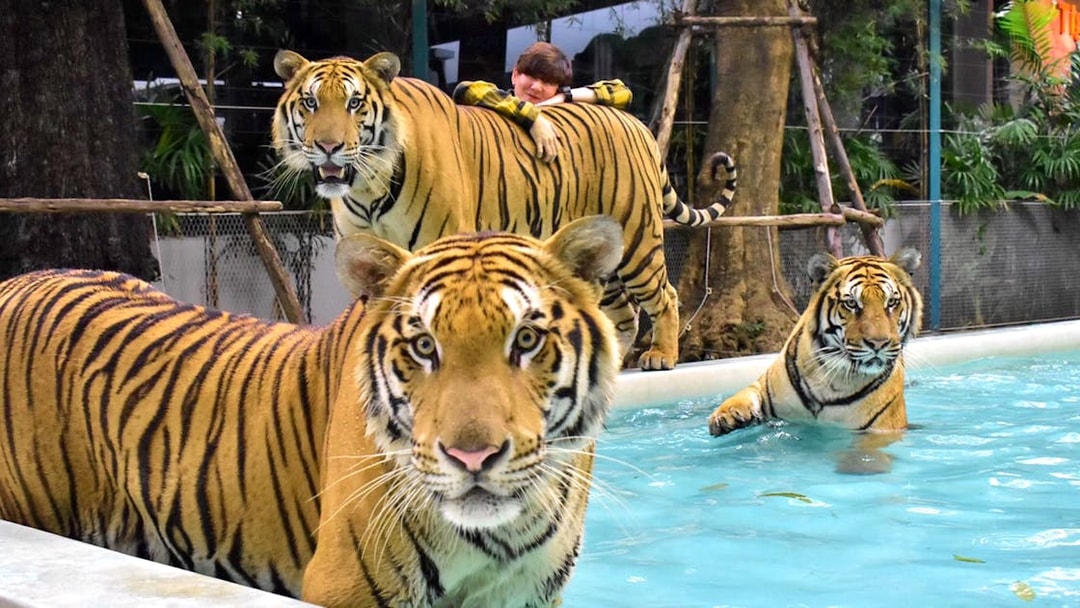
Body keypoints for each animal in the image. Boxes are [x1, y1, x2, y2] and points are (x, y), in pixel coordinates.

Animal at [270, 49, 738, 371]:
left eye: (354, 103)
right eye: (310, 103)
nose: (328, 146)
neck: (370, 186)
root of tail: (635, 122)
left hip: (637, 237)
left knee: (665, 295)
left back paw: (661, 355)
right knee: (623, 314)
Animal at [707, 248, 923, 445]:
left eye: (892, 302)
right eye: (851, 303)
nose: (878, 343)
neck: (834, 378)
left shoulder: (880, 429)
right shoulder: (764, 385)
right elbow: (745, 393)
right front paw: (726, 416)